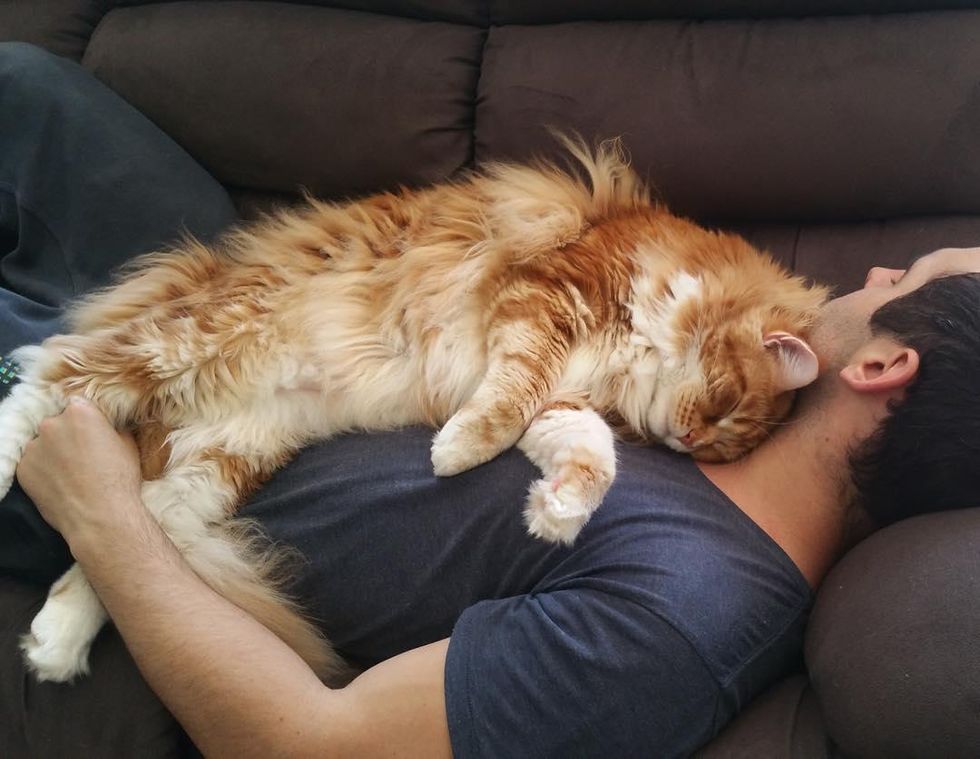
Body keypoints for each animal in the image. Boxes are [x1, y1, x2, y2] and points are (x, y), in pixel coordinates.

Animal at [0, 140, 828, 684]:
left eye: (715, 451)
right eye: (724, 407)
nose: (686, 438)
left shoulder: (564, 397)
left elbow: (588, 451)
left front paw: (556, 510)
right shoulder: (546, 303)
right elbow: (509, 399)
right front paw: (455, 452)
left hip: (223, 456)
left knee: (132, 521)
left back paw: (57, 641)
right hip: (192, 340)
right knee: (51, 372)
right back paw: (5, 464)